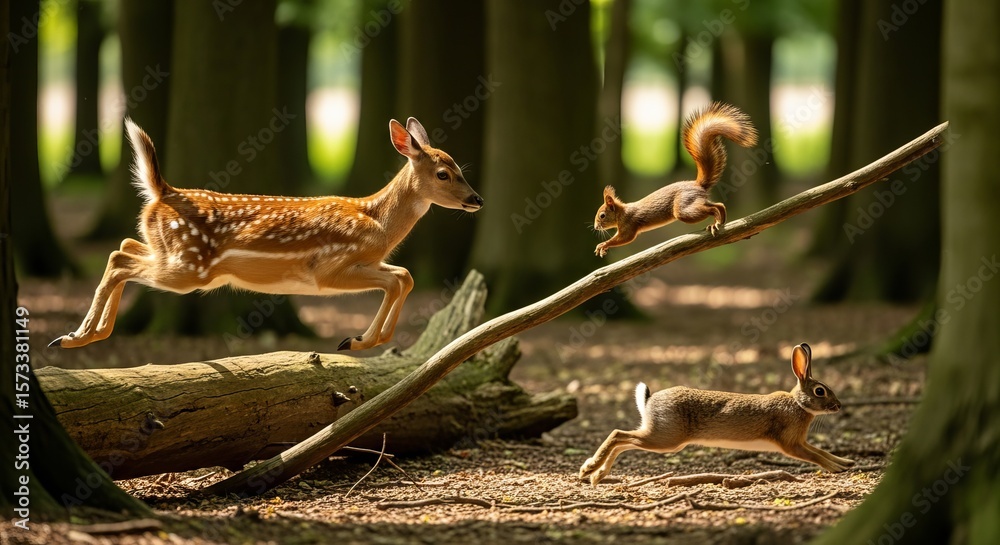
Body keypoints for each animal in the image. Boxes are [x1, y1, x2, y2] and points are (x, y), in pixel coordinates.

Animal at [49, 117, 483, 351]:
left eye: (459, 168)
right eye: (443, 173)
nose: (476, 199)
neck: (376, 223)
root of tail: (162, 191)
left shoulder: (369, 262)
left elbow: (403, 276)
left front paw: (360, 341)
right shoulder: (328, 268)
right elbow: (398, 280)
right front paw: (357, 341)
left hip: (172, 254)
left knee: (123, 246)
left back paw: (88, 333)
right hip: (188, 266)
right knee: (119, 259)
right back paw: (73, 337)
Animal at [579, 343, 855, 485]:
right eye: (820, 391)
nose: (839, 406)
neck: (798, 404)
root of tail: (649, 399)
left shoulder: (800, 441)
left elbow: (821, 451)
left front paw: (846, 463)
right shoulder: (790, 444)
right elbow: (815, 456)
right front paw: (836, 468)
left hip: (661, 438)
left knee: (624, 441)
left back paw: (597, 475)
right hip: (665, 438)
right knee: (618, 434)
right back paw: (588, 468)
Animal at [593, 102, 757, 258]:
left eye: (602, 215)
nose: (595, 227)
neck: (621, 213)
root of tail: (697, 185)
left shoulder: (629, 225)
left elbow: (625, 238)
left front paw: (603, 245)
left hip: (684, 209)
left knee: (711, 208)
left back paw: (715, 221)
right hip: (693, 202)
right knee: (718, 204)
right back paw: (720, 221)